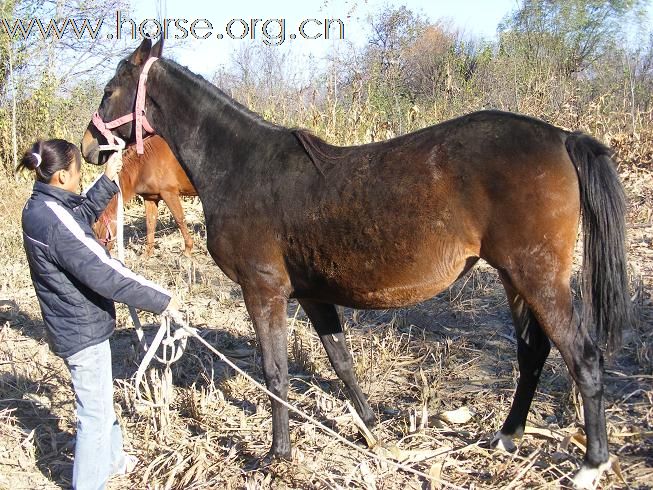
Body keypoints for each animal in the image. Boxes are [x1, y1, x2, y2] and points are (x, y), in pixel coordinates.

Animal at [79, 40, 628, 488]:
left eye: (109, 89)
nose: (87, 146)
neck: (241, 168)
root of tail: (561, 137)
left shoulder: (264, 292)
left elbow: (275, 373)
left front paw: (278, 456)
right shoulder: (313, 296)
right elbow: (341, 361)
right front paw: (372, 429)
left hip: (537, 277)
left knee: (582, 357)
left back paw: (590, 465)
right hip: (515, 278)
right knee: (532, 353)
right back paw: (506, 437)